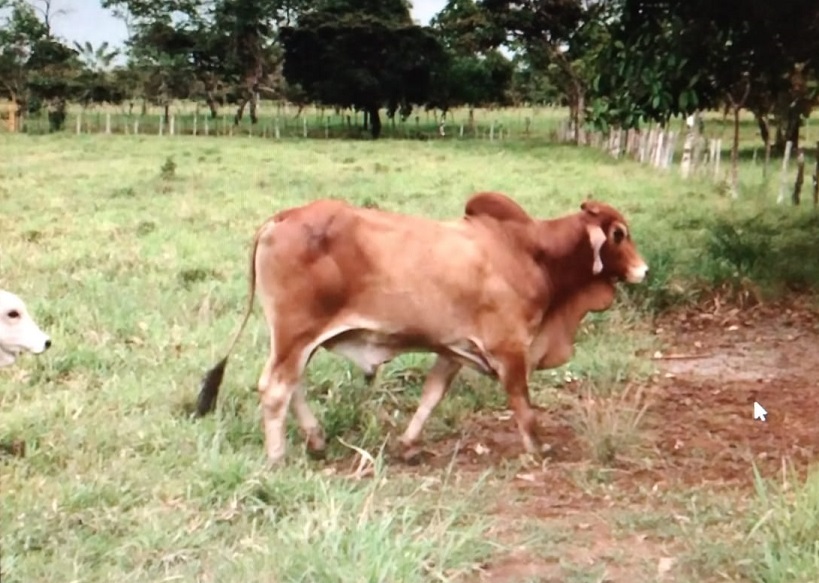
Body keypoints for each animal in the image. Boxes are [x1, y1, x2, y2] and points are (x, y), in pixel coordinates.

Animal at [195, 194, 652, 468]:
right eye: (618, 234)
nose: (644, 270)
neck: (533, 253)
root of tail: (280, 218)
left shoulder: (453, 349)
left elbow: (431, 397)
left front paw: (409, 444)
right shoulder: (509, 349)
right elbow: (523, 406)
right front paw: (537, 449)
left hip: (298, 340)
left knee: (293, 387)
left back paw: (317, 440)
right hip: (295, 333)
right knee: (276, 390)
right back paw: (277, 457)